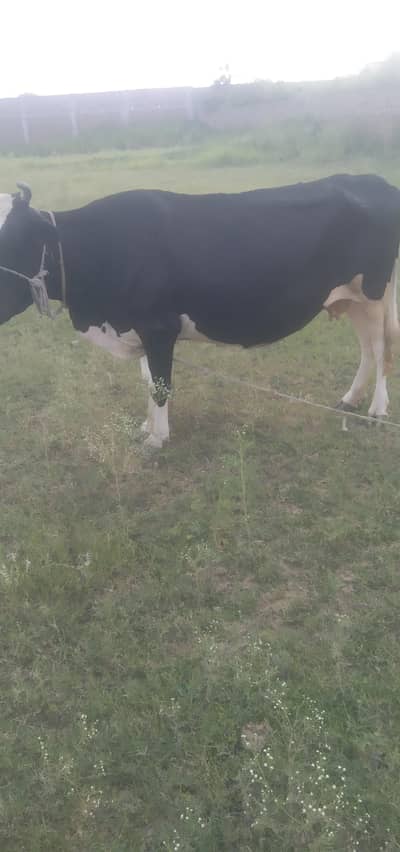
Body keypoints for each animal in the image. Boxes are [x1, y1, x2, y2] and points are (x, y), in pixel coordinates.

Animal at [0, 173, 399, 447]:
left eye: (15, 240)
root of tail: (371, 179)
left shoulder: (159, 327)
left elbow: (160, 384)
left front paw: (156, 439)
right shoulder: (140, 329)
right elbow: (148, 380)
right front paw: (147, 427)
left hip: (376, 293)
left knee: (381, 348)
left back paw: (377, 411)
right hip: (352, 297)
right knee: (367, 348)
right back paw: (349, 401)